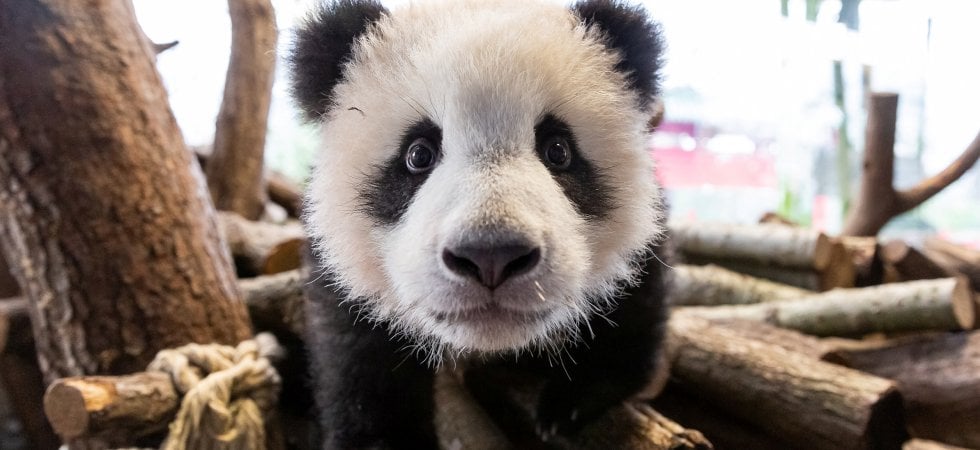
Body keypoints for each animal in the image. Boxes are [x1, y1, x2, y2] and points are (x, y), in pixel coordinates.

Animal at [290, 0, 669, 447]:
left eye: (558, 150)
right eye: (418, 154)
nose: (491, 254)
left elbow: (635, 300)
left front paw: (571, 400)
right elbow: (358, 358)